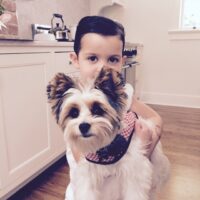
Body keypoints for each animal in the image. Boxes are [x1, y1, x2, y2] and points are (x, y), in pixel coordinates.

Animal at [47, 68, 170, 200]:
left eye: (97, 110)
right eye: (74, 113)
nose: (83, 126)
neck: (106, 148)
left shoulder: (134, 170)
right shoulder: (88, 173)